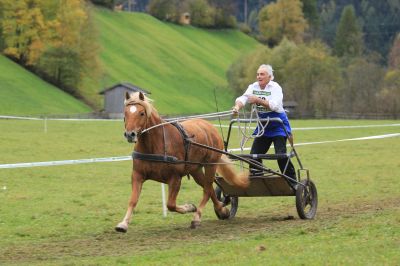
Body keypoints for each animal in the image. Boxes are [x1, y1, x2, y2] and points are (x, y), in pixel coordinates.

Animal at [114, 92, 248, 233]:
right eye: (125, 113)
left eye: (141, 113)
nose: (130, 134)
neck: (156, 144)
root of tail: (209, 126)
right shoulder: (137, 175)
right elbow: (133, 200)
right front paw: (123, 224)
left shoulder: (175, 178)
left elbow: (171, 205)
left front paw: (189, 207)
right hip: (195, 170)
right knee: (209, 188)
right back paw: (222, 210)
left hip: (211, 165)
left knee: (207, 190)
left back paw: (197, 217)